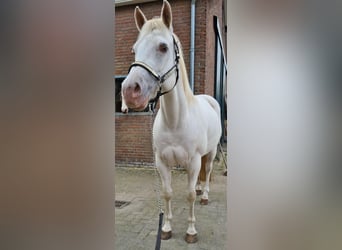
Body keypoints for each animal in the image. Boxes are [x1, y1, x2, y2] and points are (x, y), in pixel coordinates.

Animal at [121, 0, 222, 242]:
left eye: (163, 47)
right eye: (134, 50)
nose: (129, 91)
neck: (176, 122)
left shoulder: (193, 162)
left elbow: (189, 195)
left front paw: (191, 231)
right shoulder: (162, 162)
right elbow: (167, 194)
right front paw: (166, 228)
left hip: (211, 151)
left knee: (207, 172)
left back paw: (204, 194)